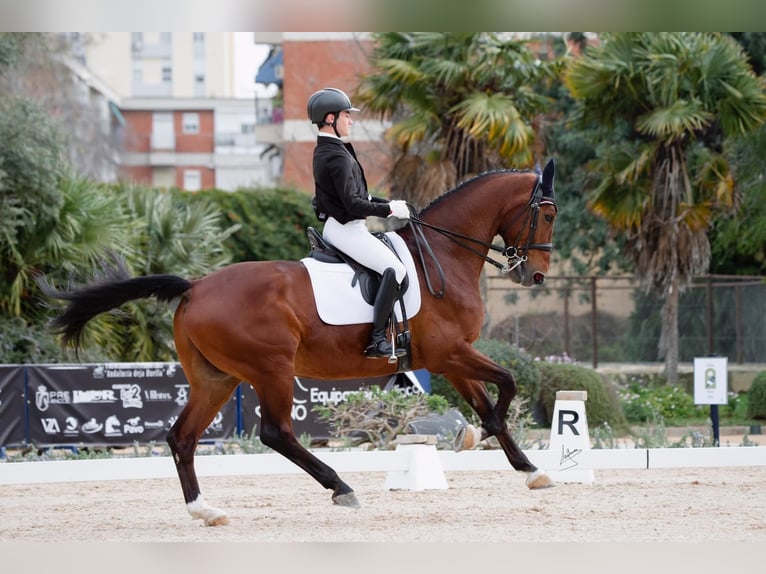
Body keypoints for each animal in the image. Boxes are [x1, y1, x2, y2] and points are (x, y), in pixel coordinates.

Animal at [39, 158, 560, 528]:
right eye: (548, 214)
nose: (535, 275)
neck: (446, 257)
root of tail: (195, 287)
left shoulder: (450, 358)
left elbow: (491, 400)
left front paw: (527, 467)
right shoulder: (451, 353)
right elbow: (508, 384)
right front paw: (479, 437)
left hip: (216, 378)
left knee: (182, 437)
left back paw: (205, 511)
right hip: (272, 369)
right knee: (276, 433)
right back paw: (340, 487)